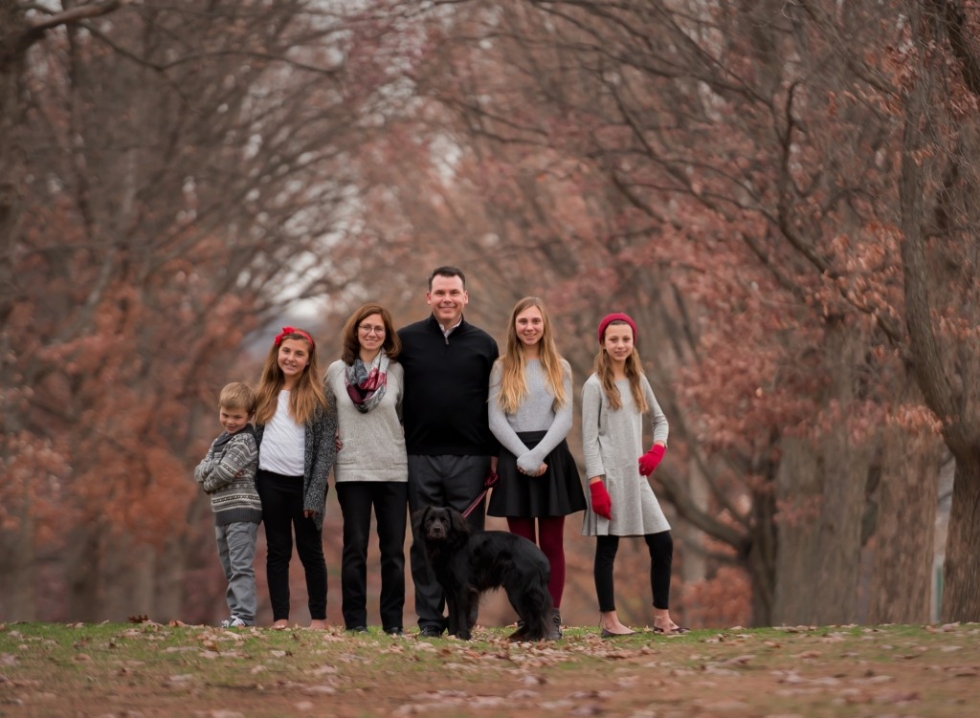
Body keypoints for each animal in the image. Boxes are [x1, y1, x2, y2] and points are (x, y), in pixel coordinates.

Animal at [412, 506, 552, 640]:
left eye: (445, 521)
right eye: (429, 520)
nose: (437, 529)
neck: (449, 545)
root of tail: (541, 558)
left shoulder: (463, 588)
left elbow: (463, 614)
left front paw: (463, 635)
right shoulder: (450, 590)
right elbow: (453, 614)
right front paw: (452, 636)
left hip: (518, 593)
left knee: (533, 619)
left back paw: (526, 639)